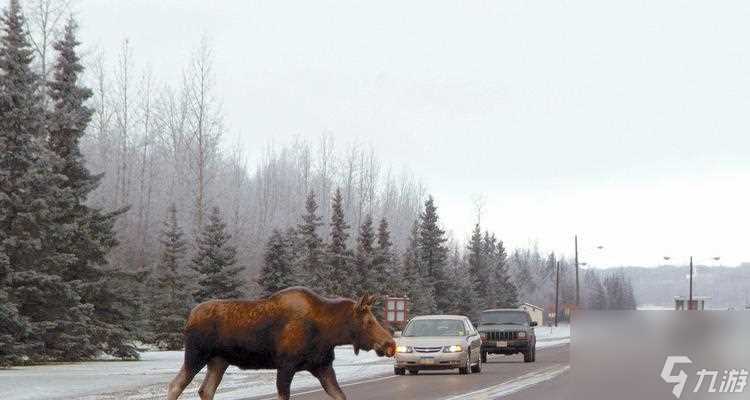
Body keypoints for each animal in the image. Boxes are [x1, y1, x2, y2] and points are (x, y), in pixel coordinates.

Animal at [166, 286, 400, 398]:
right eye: (368, 321)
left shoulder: (323, 367)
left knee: (206, 390)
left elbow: (341, 395)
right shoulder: (286, 366)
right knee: (175, 385)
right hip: (196, 356)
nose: (390, 344)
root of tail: (189, 318)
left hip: (219, 361)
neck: (329, 333)